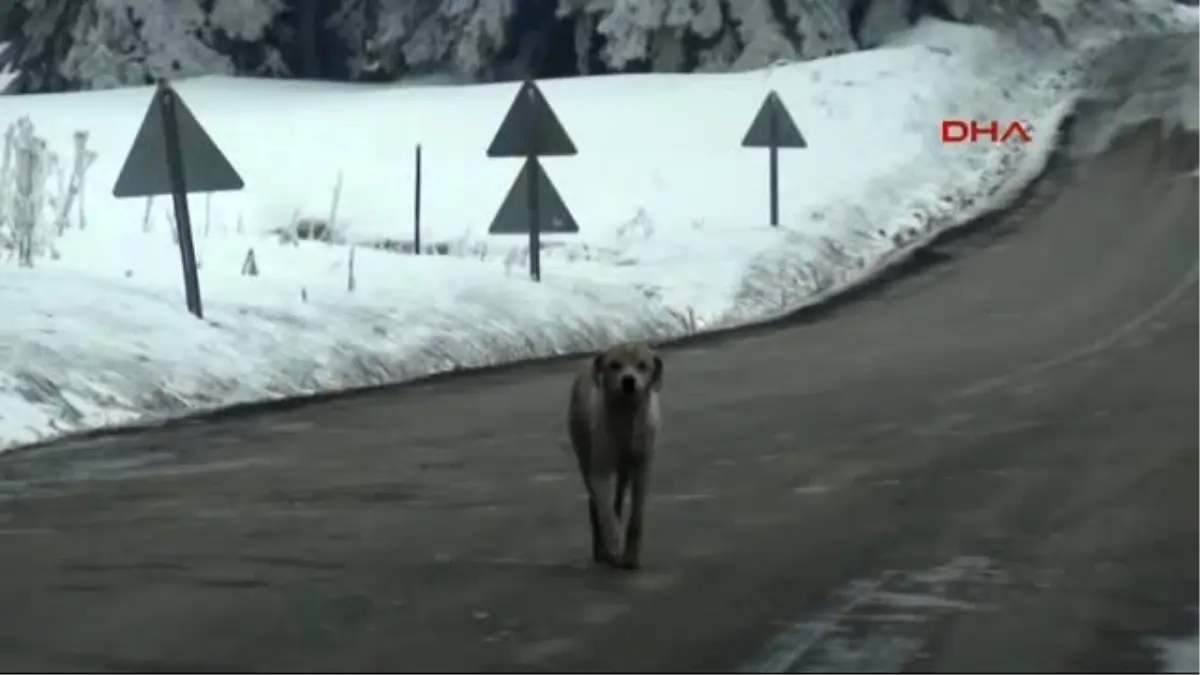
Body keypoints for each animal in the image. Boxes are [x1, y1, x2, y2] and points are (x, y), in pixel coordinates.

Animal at [564, 341, 662, 566]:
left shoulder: (641, 466)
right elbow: (605, 510)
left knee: (618, 492)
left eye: (643, 365)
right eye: (614, 364)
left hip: (623, 468)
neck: (626, 417)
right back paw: (601, 548)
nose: (628, 381)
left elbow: (636, 513)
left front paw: (631, 556)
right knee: (596, 501)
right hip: (584, 455)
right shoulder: (599, 469)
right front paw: (614, 545)